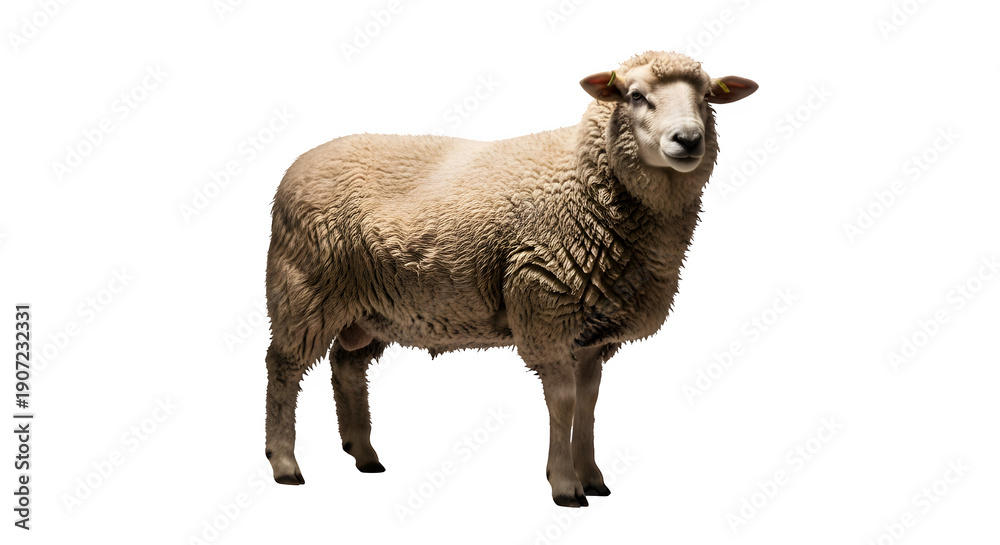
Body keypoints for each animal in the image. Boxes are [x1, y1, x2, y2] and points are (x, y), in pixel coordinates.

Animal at [264, 50, 757, 507]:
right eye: (635, 96)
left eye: (707, 96)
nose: (688, 140)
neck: (585, 182)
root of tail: (297, 166)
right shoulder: (545, 307)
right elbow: (564, 401)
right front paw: (565, 485)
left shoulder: (592, 331)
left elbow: (589, 403)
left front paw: (593, 477)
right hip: (304, 288)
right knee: (283, 366)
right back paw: (285, 463)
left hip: (372, 308)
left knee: (346, 365)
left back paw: (364, 454)